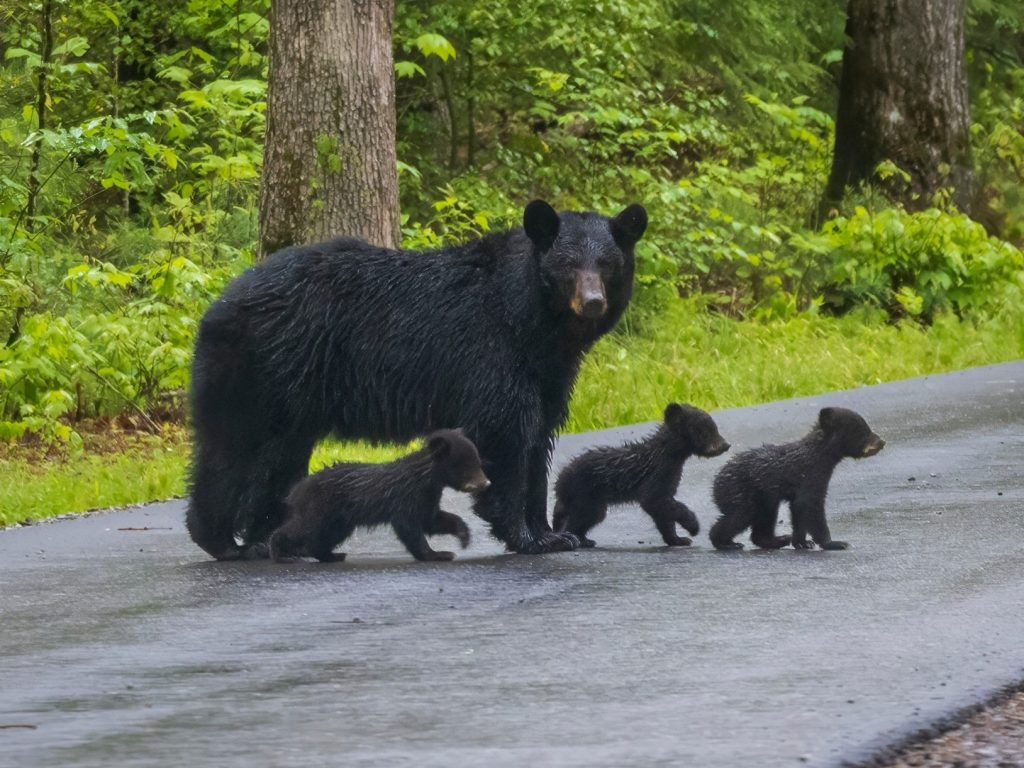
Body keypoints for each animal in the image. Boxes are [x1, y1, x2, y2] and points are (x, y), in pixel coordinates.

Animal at [270, 430, 489, 561]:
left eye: (478, 462)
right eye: (467, 466)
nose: (485, 483)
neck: (424, 478)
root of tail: (297, 490)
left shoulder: (427, 497)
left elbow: (432, 520)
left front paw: (464, 536)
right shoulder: (405, 497)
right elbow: (409, 527)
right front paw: (437, 553)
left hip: (340, 519)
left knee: (326, 535)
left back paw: (332, 555)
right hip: (321, 507)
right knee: (303, 528)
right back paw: (278, 550)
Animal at [552, 405, 729, 548]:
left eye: (714, 428)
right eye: (705, 431)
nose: (726, 445)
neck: (669, 454)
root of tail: (560, 482)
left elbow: (662, 511)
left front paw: (677, 539)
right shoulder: (657, 473)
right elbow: (653, 499)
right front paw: (693, 526)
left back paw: (584, 539)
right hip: (586, 494)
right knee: (582, 516)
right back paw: (576, 539)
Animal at [708, 409, 884, 552]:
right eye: (864, 431)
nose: (882, 441)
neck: (821, 454)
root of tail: (715, 482)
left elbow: (799, 509)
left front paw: (802, 542)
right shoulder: (812, 473)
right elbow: (809, 504)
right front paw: (834, 543)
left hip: (763, 497)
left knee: (765, 516)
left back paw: (777, 540)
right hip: (739, 491)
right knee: (741, 514)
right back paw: (726, 543)